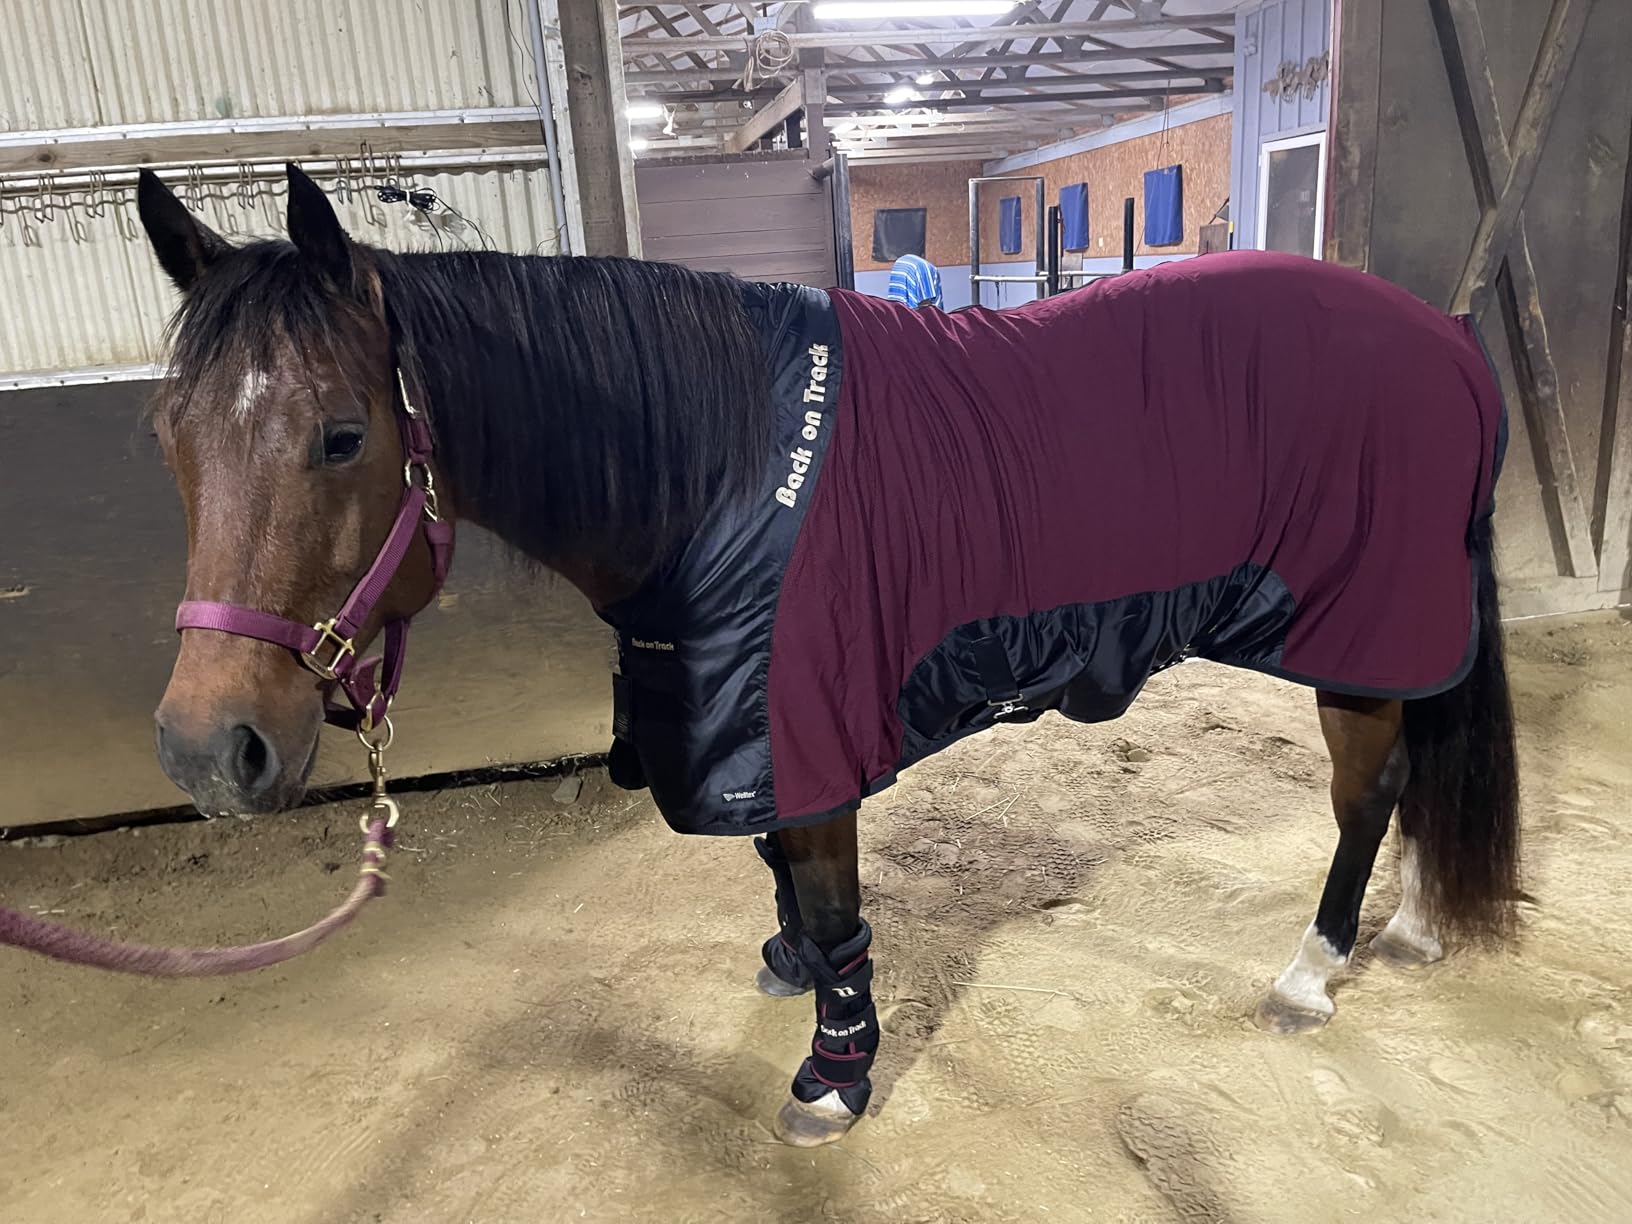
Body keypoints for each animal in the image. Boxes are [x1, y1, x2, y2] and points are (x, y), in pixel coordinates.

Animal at [135, 164, 1519, 1148]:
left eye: (341, 433)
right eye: (167, 435)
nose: (209, 749)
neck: (716, 466)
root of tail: (1451, 343)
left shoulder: (807, 718)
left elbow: (832, 892)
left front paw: (834, 1073)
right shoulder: (735, 716)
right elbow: (781, 877)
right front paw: (792, 967)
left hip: (1361, 637)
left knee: (1369, 795)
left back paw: (1315, 970)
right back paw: (1411, 928)